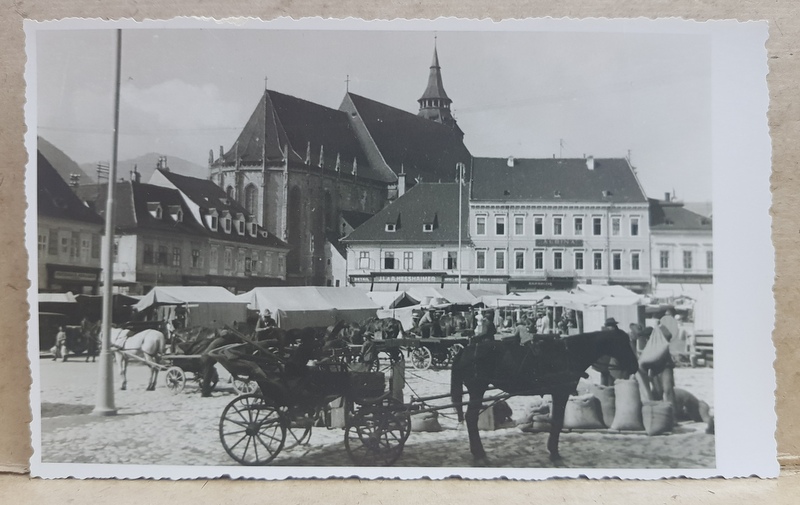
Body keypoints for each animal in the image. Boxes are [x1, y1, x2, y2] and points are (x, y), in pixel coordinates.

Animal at [454, 326, 640, 464]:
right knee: (471, 418)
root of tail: (466, 350)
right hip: (477, 389)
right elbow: (557, 422)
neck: (569, 353)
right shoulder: (560, 393)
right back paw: (479, 454)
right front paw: (555, 453)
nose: (635, 365)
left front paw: (553, 451)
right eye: (624, 343)